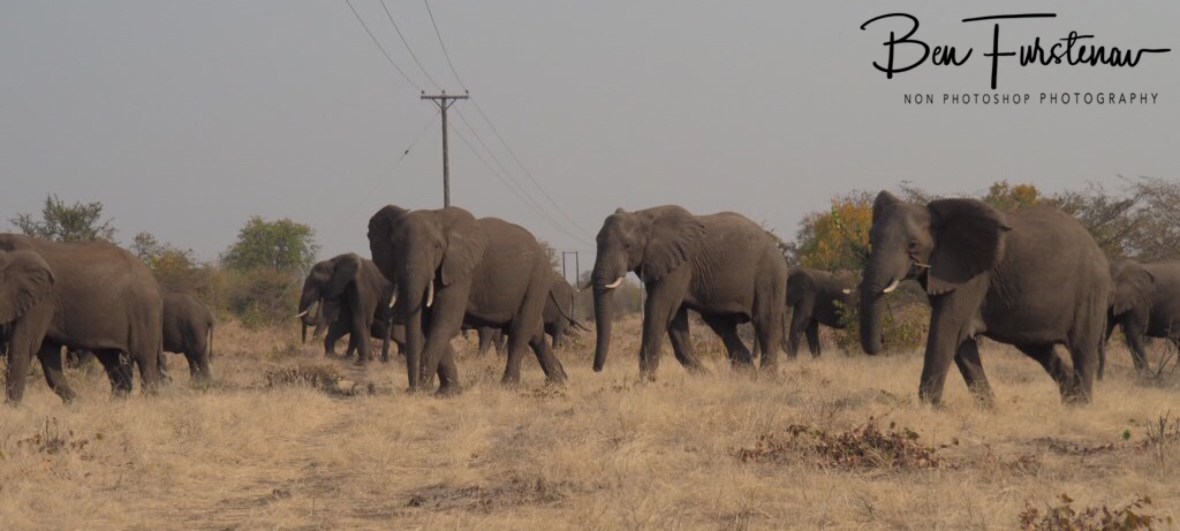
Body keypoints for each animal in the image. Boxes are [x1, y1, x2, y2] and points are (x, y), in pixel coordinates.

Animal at [0, 234, 164, 404]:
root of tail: (156, 283)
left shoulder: (41, 301)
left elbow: (24, 346)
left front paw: (12, 408)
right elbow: (48, 354)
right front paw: (76, 404)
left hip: (144, 310)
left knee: (145, 359)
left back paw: (148, 401)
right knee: (112, 361)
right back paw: (115, 405)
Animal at [368, 205, 567, 393]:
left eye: (437, 247)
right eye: (394, 247)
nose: (411, 389)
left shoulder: (460, 270)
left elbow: (446, 323)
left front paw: (426, 390)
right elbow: (431, 325)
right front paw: (447, 392)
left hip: (538, 279)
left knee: (520, 330)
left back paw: (508, 386)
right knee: (535, 331)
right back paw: (559, 380)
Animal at [590, 206, 788, 379]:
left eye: (628, 245)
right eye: (597, 241)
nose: (597, 369)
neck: (643, 216)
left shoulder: (680, 265)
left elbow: (659, 309)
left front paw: (644, 382)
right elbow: (675, 318)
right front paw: (706, 378)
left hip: (770, 277)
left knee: (765, 323)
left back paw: (766, 378)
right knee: (722, 326)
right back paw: (747, 376)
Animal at [859, 192, 1111, 406]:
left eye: (913, 245)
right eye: (870, 239)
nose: (882, 341)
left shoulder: (970, 277)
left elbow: (947, 328)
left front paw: (929, 408)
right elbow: (961, 340)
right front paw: (991, 410)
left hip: (1091, 291)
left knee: (1082, 348)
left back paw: (1081, 407)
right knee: (1040, 350)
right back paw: (1069, 402)